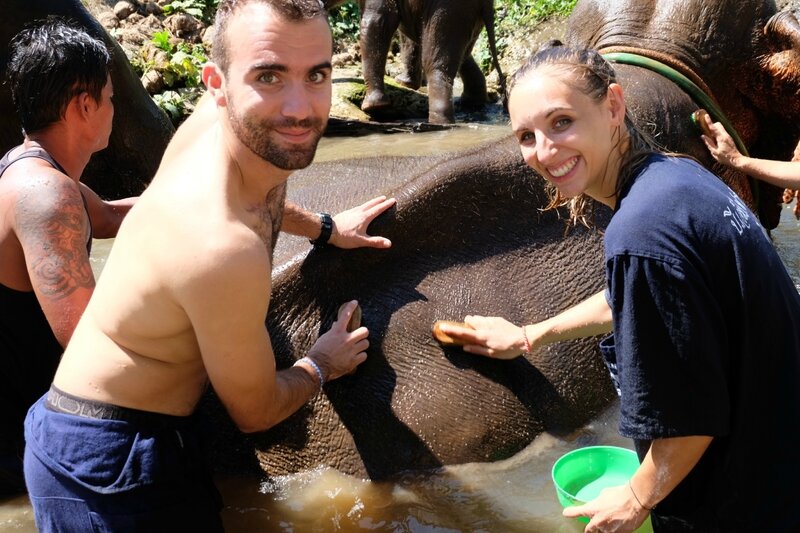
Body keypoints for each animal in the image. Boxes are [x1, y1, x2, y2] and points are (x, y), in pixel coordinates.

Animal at [322, 0, 504, 123]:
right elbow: (409, 33)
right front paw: (403, 83)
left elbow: (375, 23)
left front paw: (372, 107)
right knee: (462, 55)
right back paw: (470, 103)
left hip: (449, 9)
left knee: (434, 65)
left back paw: (438, 124)